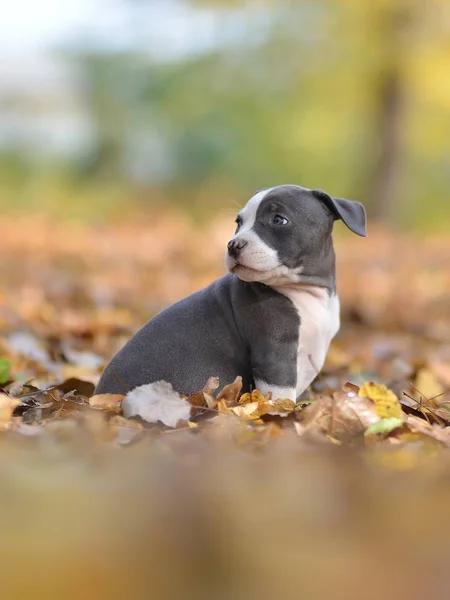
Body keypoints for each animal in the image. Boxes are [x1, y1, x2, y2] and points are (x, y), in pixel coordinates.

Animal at [96, 183, 366, 398]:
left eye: (279, 219)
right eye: (239, 223)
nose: (233, 244)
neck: (304, 291)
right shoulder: (274, 356)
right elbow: (280, 396)